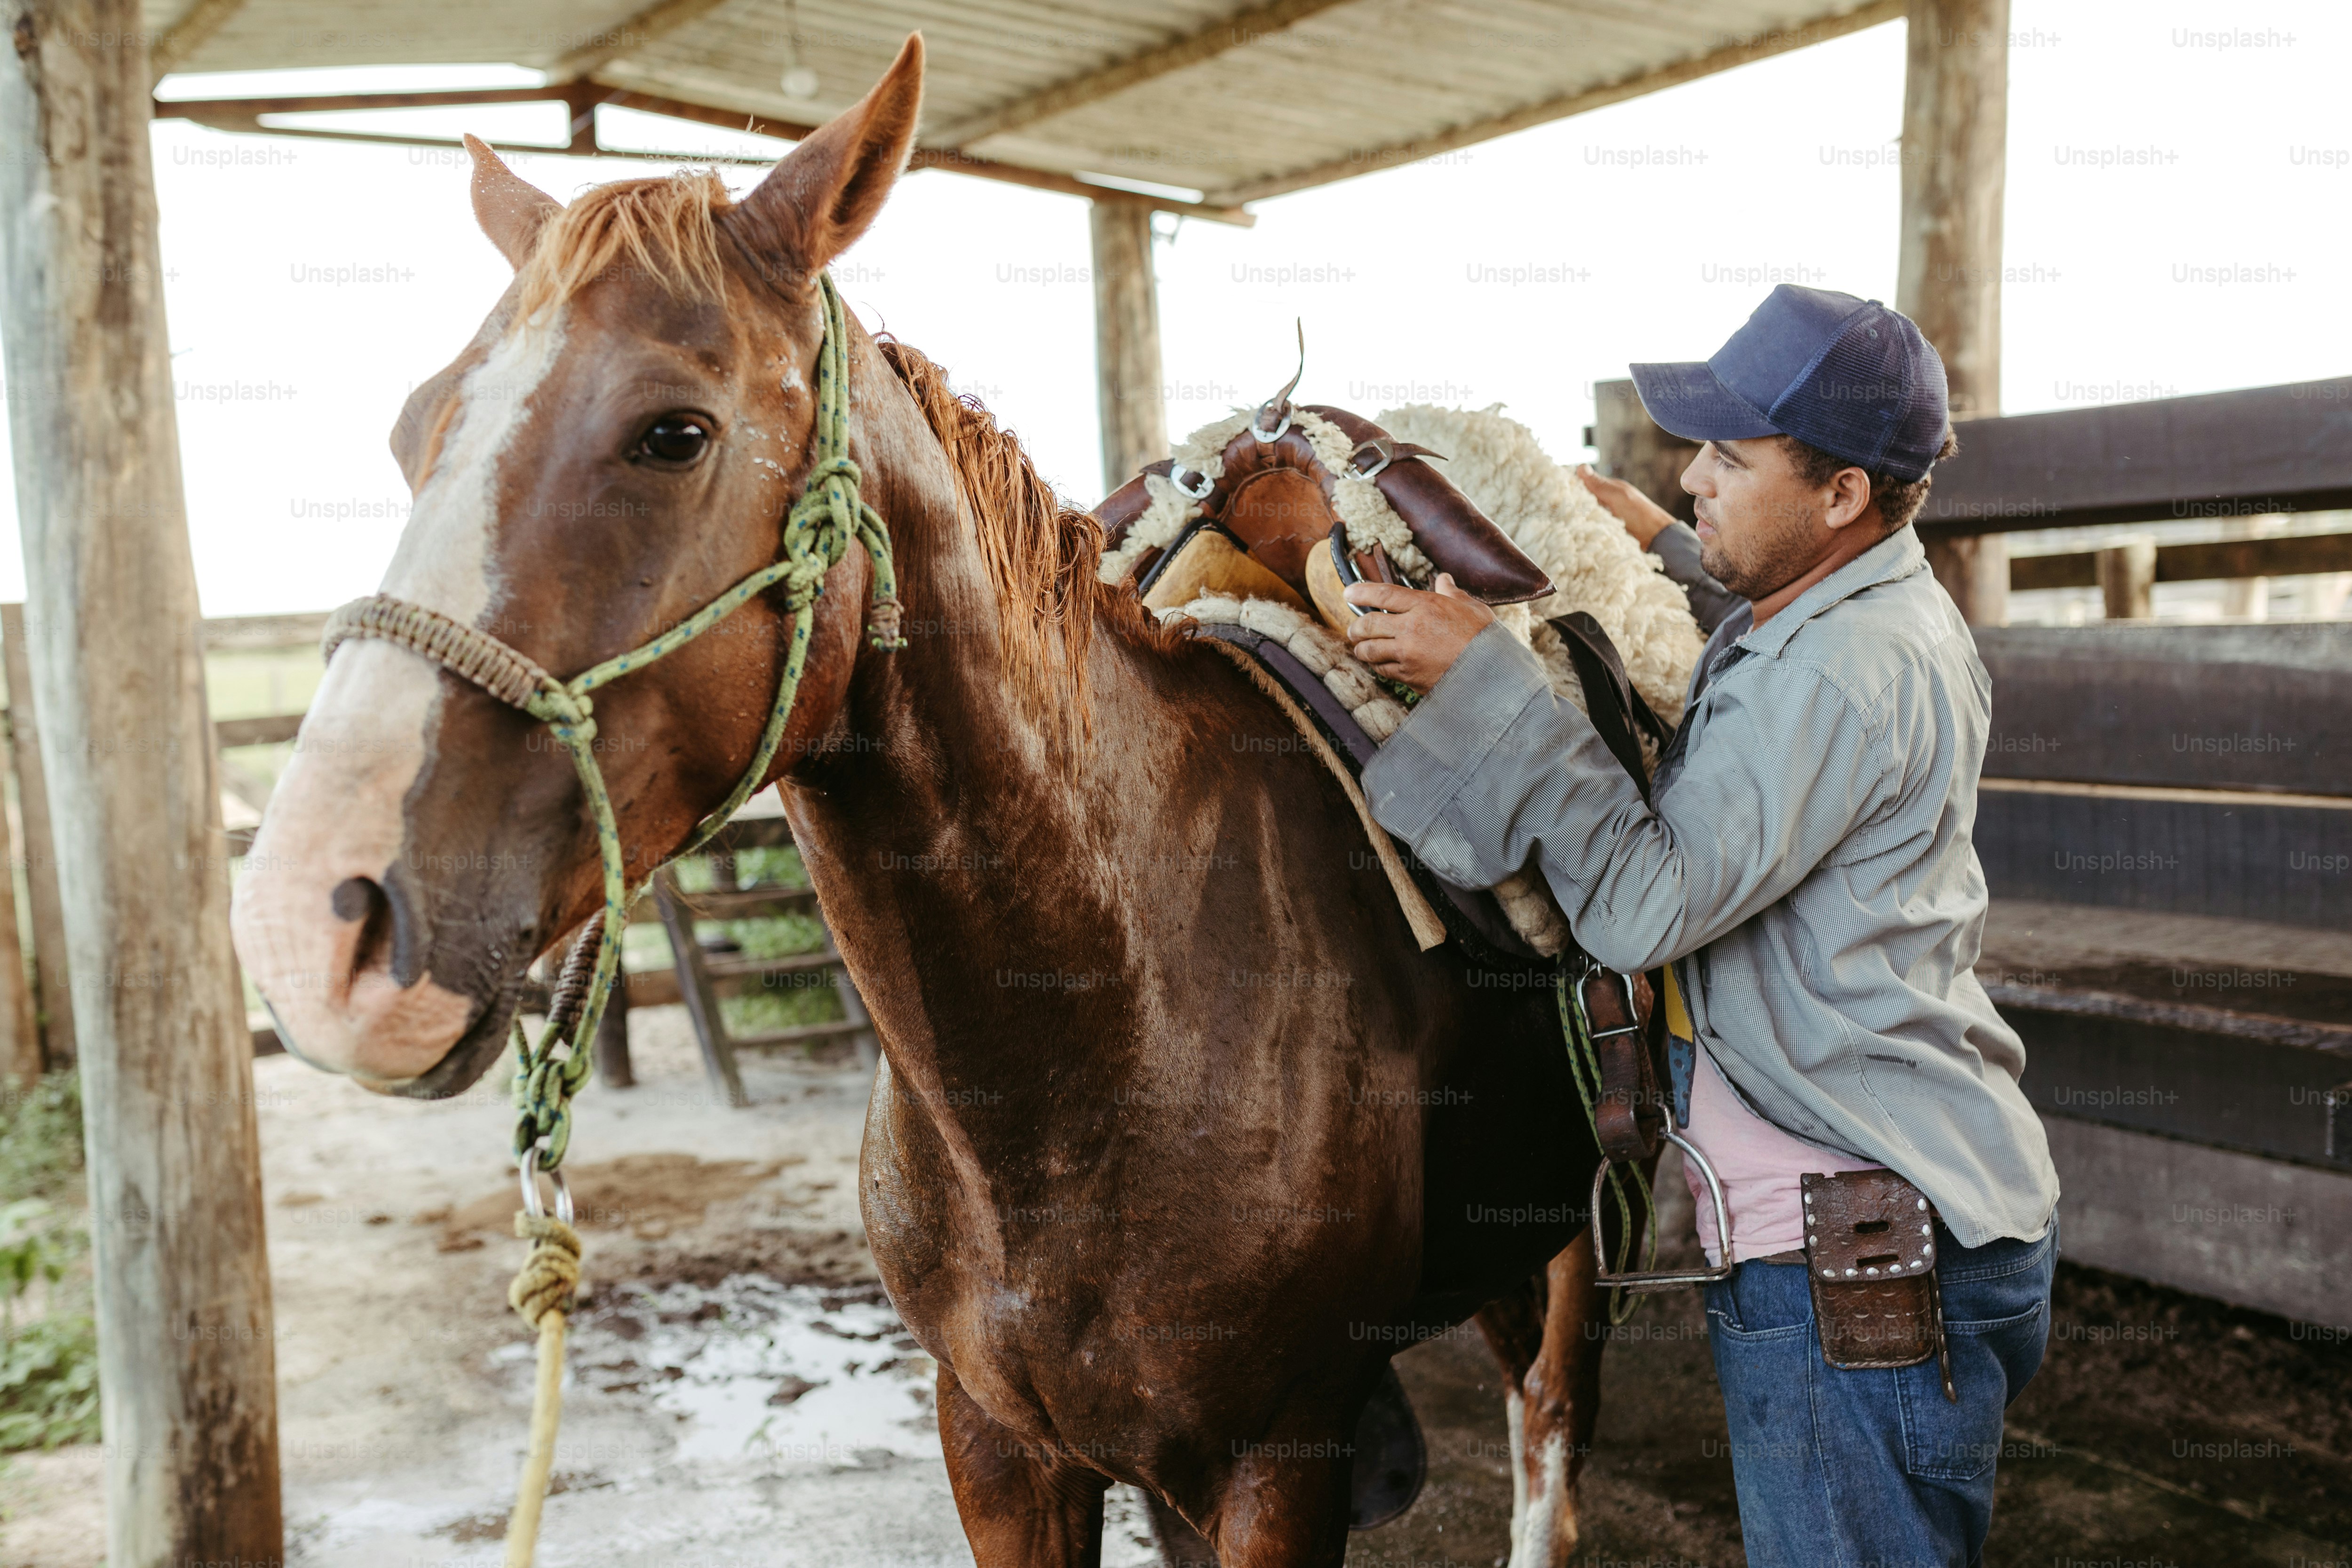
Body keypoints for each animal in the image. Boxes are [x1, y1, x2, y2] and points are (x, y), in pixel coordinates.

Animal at [230, 37, 1633, 1567]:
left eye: (673, 433)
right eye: (410, 431)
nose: (312, 923)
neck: (1092, 1044)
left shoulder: (1286, 1458)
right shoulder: (997, 1444)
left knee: (1551, 1422)